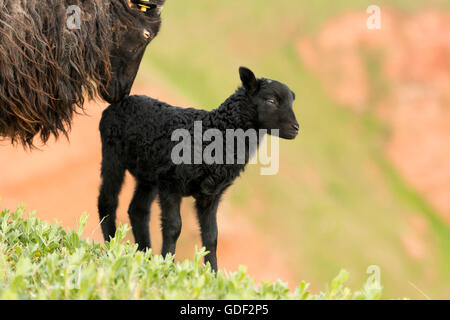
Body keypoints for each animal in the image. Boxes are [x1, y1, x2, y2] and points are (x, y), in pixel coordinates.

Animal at [100, 66, 300, 272]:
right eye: (271, 100)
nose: (296, 128)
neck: (217, 132)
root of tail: (124, 100)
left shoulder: (210, 195)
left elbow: (212, 237)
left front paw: (213, 274)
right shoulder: (170, 184)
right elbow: (174, 227)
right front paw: (166, 265)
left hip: (148, 175)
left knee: (138, 210)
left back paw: (143, 254)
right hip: (112, 154)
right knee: (108, 201)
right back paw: (111, 246)